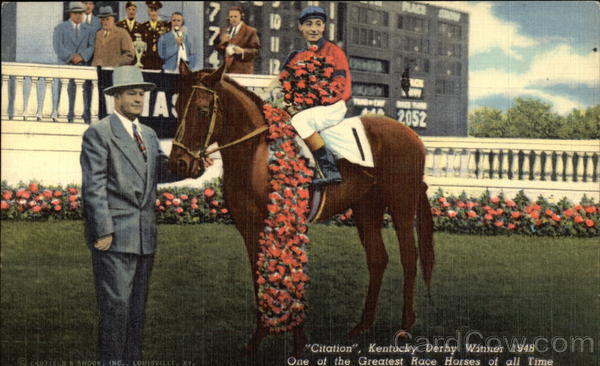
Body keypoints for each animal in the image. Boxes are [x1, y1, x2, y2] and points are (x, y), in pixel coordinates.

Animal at [169, 63, 436, 358]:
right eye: (177, 107)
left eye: (203, 110)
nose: (179, 164)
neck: (257, 155)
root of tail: (413, 135)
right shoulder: (250, 228)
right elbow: (259, 277)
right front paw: (256, 340)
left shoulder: (286, 223)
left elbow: (292, 275)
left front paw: (298, 346)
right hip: (366, 209)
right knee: (377, 259)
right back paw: (362, 325)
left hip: (402, 205)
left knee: (409, 258)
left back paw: (405, 326)